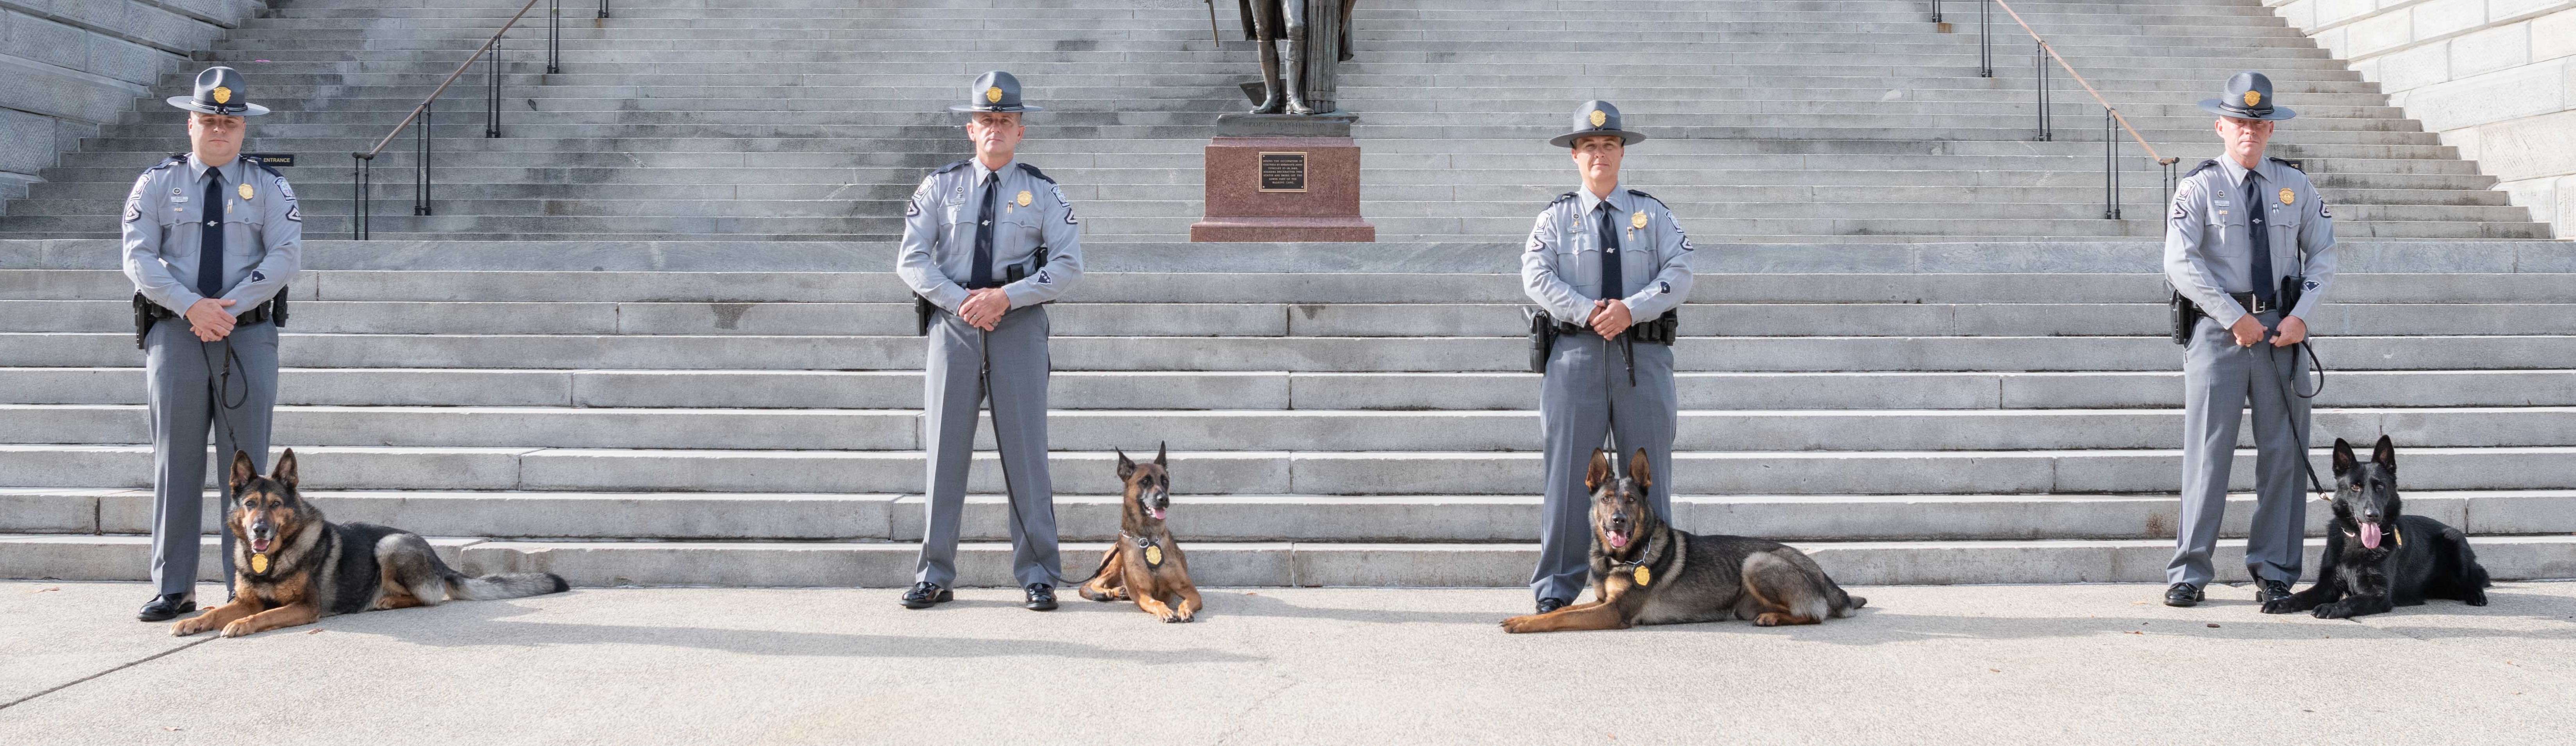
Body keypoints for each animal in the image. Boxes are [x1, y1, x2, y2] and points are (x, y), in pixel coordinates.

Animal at [175, 449, 569, 635]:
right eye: (250, 504)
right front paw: (193, 622)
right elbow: (222, 610)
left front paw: (242, 625)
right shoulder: (247, 599)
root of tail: (438, 558)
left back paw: (386, 600)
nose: (260, 530)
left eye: (274, 504)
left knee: (428, 598)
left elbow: (265, 615)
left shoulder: (305, 607)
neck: (275, 557)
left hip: (389, 546)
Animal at [1504, 446, 1865, 632]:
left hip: (1756, 561)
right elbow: (1561, 610)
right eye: (1606, 499)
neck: (1624, 556)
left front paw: (1522, 623)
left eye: (1631, 500)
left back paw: (1775, 617)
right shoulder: (1603, 601)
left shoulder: (1614, 612)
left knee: (1815, 614)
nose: (1619, 521)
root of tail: (1824, 577)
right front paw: (1529, 616)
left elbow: (1562, 616)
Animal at [2267, 433, 2483, 619]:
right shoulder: (2327, 587)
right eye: (2355, 487)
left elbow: (2351, 601)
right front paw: (2282, 602)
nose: (2373, 515)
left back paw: (2476, 595)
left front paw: (2331, 607)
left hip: (2454, 539)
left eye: (2380, 486)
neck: (2357, 540)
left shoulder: (2378, 595)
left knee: (2473, 580)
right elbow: (2302, 595)